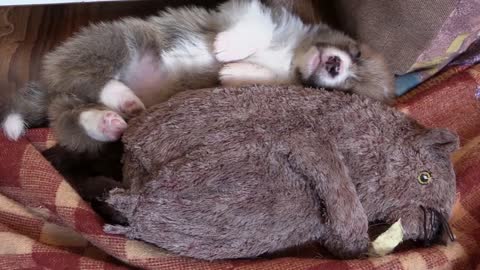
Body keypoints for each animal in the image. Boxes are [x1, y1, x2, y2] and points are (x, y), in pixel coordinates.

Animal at [0, 0, 394, 154]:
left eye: (347, 91)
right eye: (356, 52)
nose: (335, 67)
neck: (292, 56)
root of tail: (48, 83)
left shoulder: (281, 80)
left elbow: (262, 79)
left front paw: (234, 70)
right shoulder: (252, 13)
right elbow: (256, 29)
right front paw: (229, 49)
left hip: (78, 102)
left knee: (72, 115)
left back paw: (114, 115)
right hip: (117, 42)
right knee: (84, 81)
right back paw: (117, 98)